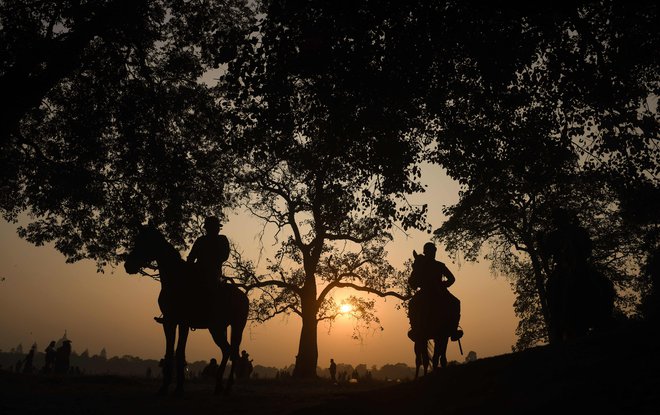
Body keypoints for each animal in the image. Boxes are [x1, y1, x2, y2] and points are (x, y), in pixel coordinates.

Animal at [123, 226, 248, 394]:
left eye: (145, 242)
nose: (128, 265)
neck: (176, 281)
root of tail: (242, 296)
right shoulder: (169, 322)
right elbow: (170, 352)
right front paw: (164, 386)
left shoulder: (183, 323)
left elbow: (180, 352)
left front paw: (179, 388)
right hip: (220, 328)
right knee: (228, 351)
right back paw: (220, 386)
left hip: (233, 327)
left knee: (232, 352)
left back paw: (225, 386)